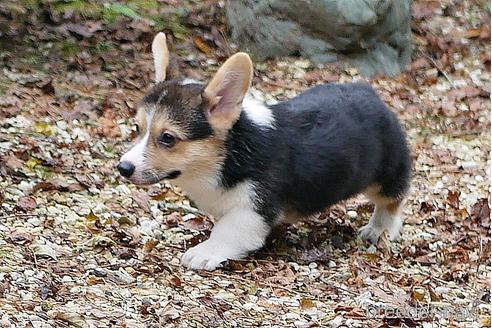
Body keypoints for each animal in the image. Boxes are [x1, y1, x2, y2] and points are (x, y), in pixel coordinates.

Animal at [118, 32, 412, 270]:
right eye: (138, 128)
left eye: (168, 138)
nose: (123, 168)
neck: (229, 154)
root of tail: (369, 92)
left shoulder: (254, 207)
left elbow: (228, 230)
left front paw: (204, 252)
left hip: (388, 171)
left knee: (392, 199)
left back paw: (379, 229)